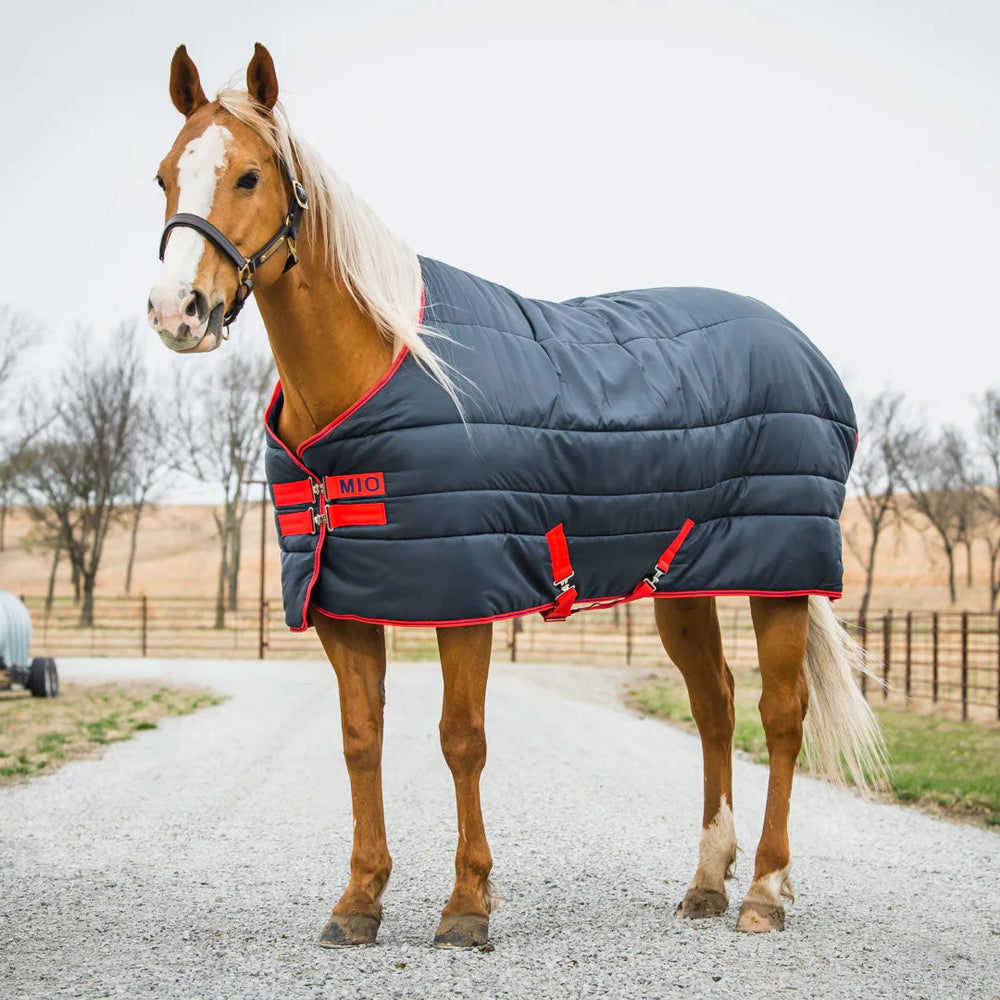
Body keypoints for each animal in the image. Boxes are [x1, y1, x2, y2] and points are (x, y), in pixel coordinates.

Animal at [146, 43, 884, 944]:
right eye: (164, 176)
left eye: (249, 175)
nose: (177, 310)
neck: (380, 373)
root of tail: (800, 346)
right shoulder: (341, 601)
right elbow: (361, 739)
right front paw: (359, 901)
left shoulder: (466, 593)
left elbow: (461, 739)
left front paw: (467, 905)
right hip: (686, 581)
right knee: (714, 706)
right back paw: (708, 882)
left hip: (781, 576)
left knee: (780, 715)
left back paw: (765, 892)